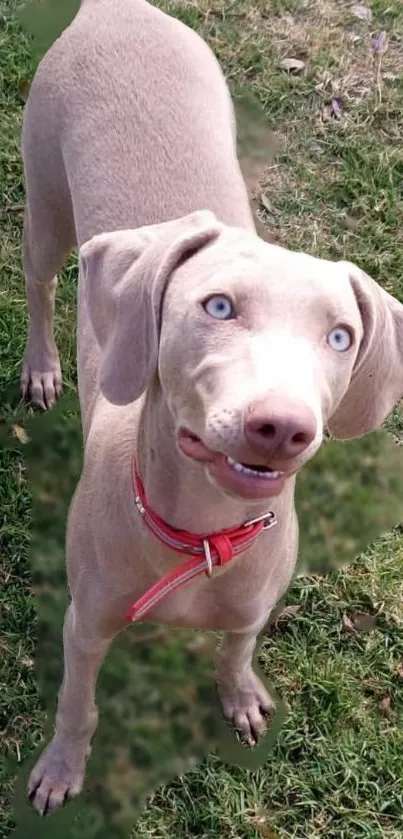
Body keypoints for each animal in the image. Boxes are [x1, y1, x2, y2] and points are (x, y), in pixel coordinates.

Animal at [21, 0, 403, 816]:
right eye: (218, 305)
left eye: (339, 335)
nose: (280, 426)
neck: (201, 533)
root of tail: (120, 9)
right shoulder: (85, 621)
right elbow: (77, 703)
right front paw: (61, 769)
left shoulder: (253, 603)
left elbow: (237, 647)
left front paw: (241, 696)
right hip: (46, 197)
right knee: (38, 281)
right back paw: (39, 368)